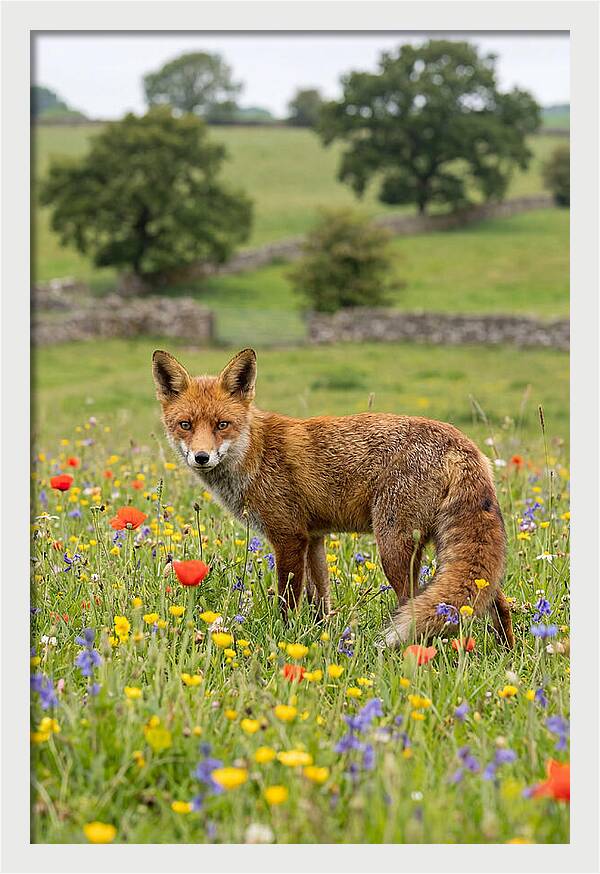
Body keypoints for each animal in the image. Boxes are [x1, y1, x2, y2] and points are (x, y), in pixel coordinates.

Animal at [152, 347, 514, 649]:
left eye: (222, 424)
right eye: (185, 425)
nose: (201, 457)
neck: (255, 453)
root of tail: (461, 442)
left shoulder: (288, 537)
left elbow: (288, 600)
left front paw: (285, 638)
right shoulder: (314, 538)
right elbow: (320, 601)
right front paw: (321, 637)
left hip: (394, 547)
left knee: (413, 604)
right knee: (497, 601)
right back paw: (507, 652)